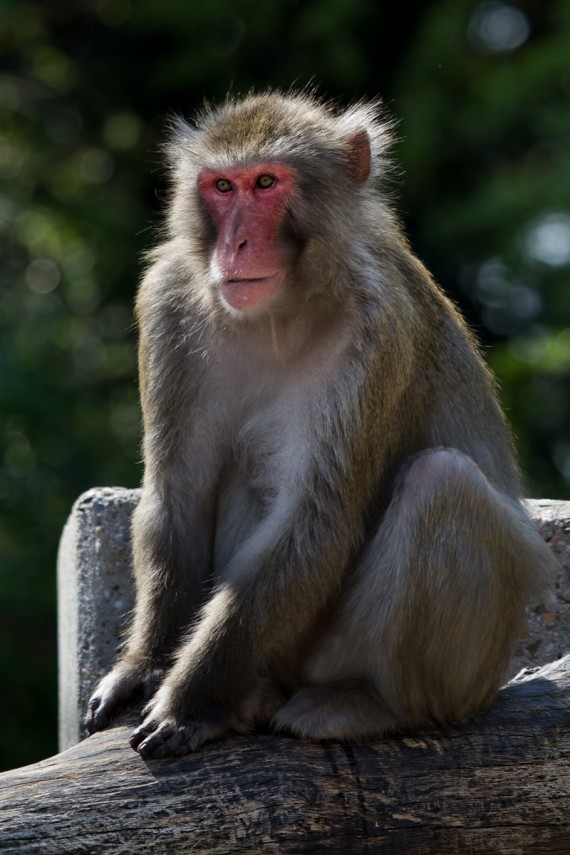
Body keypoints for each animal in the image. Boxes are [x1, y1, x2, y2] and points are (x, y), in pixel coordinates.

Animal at [85, 90, 556, 760]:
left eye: (266, 182)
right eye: (222, 186)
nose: (235, 246)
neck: (280, 313)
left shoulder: (378, 327)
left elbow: (316, 519)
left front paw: (188, 702)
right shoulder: (168, 300)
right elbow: (180, 495)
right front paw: (144, 667)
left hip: (461, 671)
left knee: (442, 482)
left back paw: (371, 703)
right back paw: (255, 695)